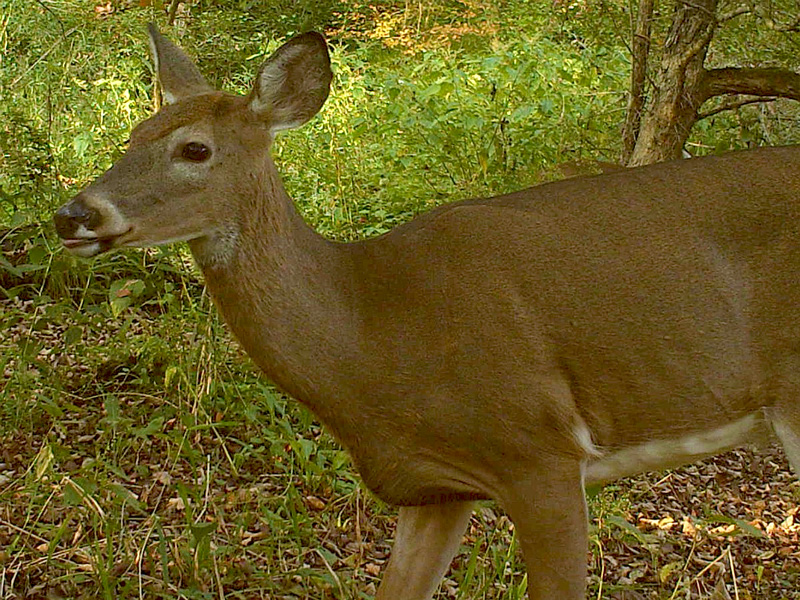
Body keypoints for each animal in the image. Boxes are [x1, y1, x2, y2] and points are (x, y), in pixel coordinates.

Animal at [54, 27, 800, 600]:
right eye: (133, 133)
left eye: (195, 148)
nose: (72, 215)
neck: (373, 329)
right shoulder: (435, 486)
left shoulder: (541, 452)